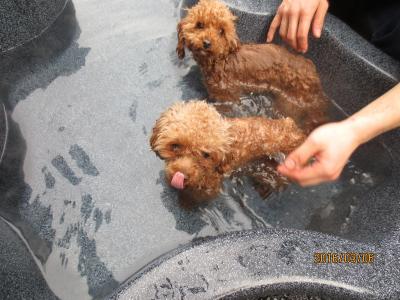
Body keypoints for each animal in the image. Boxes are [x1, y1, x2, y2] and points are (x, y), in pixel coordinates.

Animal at [177, 0, 328, 131]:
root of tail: (315, 78)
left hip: (290, 104)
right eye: (199, 24)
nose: (207, 43)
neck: (221, 59)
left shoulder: (227, 95)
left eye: (221, 31)